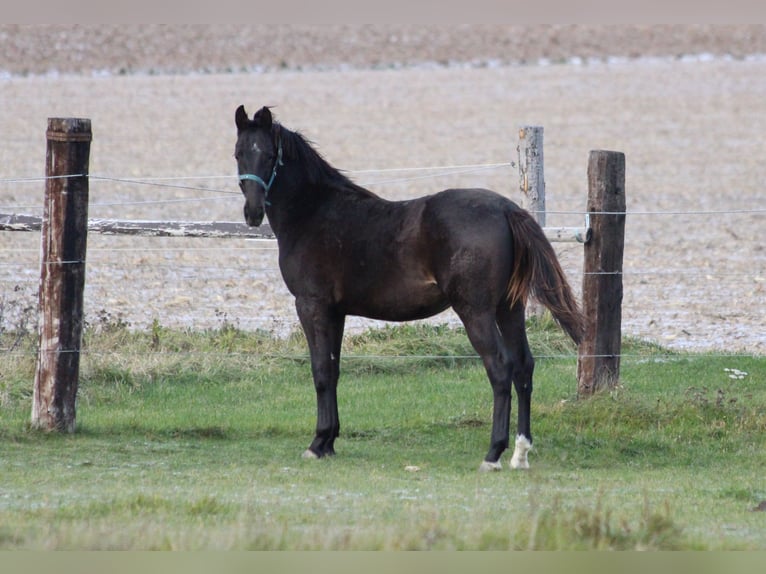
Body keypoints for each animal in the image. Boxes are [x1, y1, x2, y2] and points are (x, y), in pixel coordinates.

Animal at [234, 104, 584, 472]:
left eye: (269, 155)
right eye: (239, 153)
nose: (253, 212)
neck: (313, 213)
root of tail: (506, 209)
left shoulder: (311, 305)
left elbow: (320, 371)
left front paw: (317, 444)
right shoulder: (336, 312)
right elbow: (334, 369)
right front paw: (329, 441)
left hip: (476, 311)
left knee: (501, 368)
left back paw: (493, 454)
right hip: (509, 308)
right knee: (523, 366)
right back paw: (520, 452)